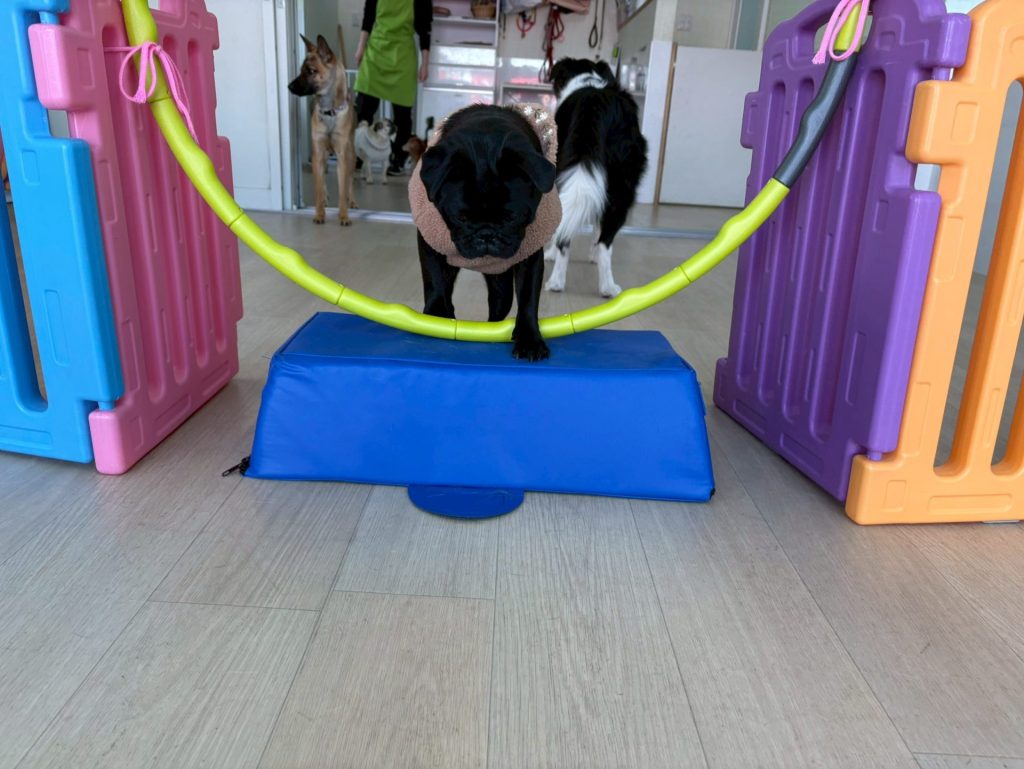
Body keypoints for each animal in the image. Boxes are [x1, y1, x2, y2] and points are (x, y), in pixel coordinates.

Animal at [288, 33, 356, 226]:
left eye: (311, 71)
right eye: (301, 70)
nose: (289, 87)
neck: (329, 113)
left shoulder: (342, 156)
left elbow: (343, 189)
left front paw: (343, 215)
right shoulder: (317, 154)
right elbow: (318, 187)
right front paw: (319, 214)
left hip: (351, 155)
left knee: (350, 180)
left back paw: (352, 200)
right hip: (323, 155)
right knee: (323, 178)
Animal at [412, 105, 558, 361]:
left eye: (511, 218)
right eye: (460, 217)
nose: (486, 235)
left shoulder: (530, 257)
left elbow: (528, 298)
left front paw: (529, 339)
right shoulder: (429, 240)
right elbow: (434, 280)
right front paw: (436, 314)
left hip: (501, 286)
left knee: (498, 308)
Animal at [544, 58, 648, 297]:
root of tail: (597, 106)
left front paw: (551, 254)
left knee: (567, 236)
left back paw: (556, 280)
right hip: (623, 186)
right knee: (605, 242)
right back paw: (608, 287)